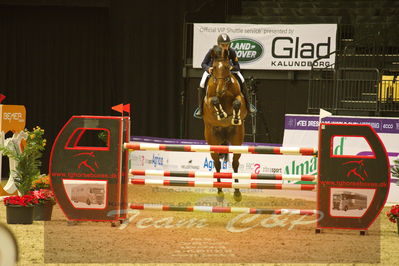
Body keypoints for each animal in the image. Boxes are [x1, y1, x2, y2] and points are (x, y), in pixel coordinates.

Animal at [203, 45, 247, 203]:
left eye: (228, 67)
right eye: (214, 67)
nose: (220, 90)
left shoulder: (239, 97)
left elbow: (237, 102)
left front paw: (234, 117)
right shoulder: (209, 100)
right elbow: (214, 100)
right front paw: (221, 114)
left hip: (237, 139)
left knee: (235, 163)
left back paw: (237, 192)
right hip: (212, 141)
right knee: (216, 164)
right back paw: (220, 192)